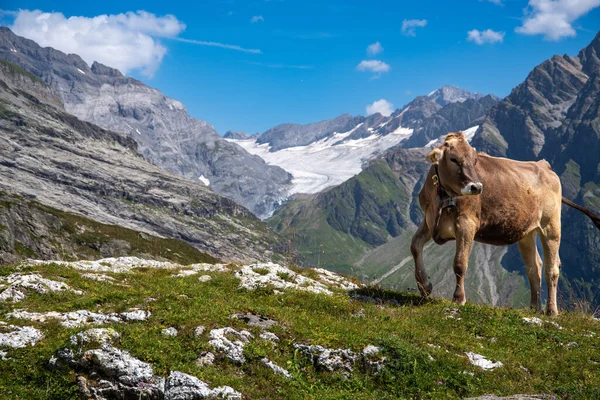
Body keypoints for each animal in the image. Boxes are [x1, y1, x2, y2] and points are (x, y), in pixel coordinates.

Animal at [410, 131, 600, 316]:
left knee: (551, 268)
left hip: (550, 226)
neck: (441, 198)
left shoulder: (467, 223)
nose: (476, 187)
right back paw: (535, 307)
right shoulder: (428, 220)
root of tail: (543, 165)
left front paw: (458, 299)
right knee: (534, 267)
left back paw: (551, 310)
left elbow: (460, 263)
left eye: (475, 160)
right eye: (453, 159)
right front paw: (425, 286)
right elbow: (415, 246)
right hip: (526, 232)